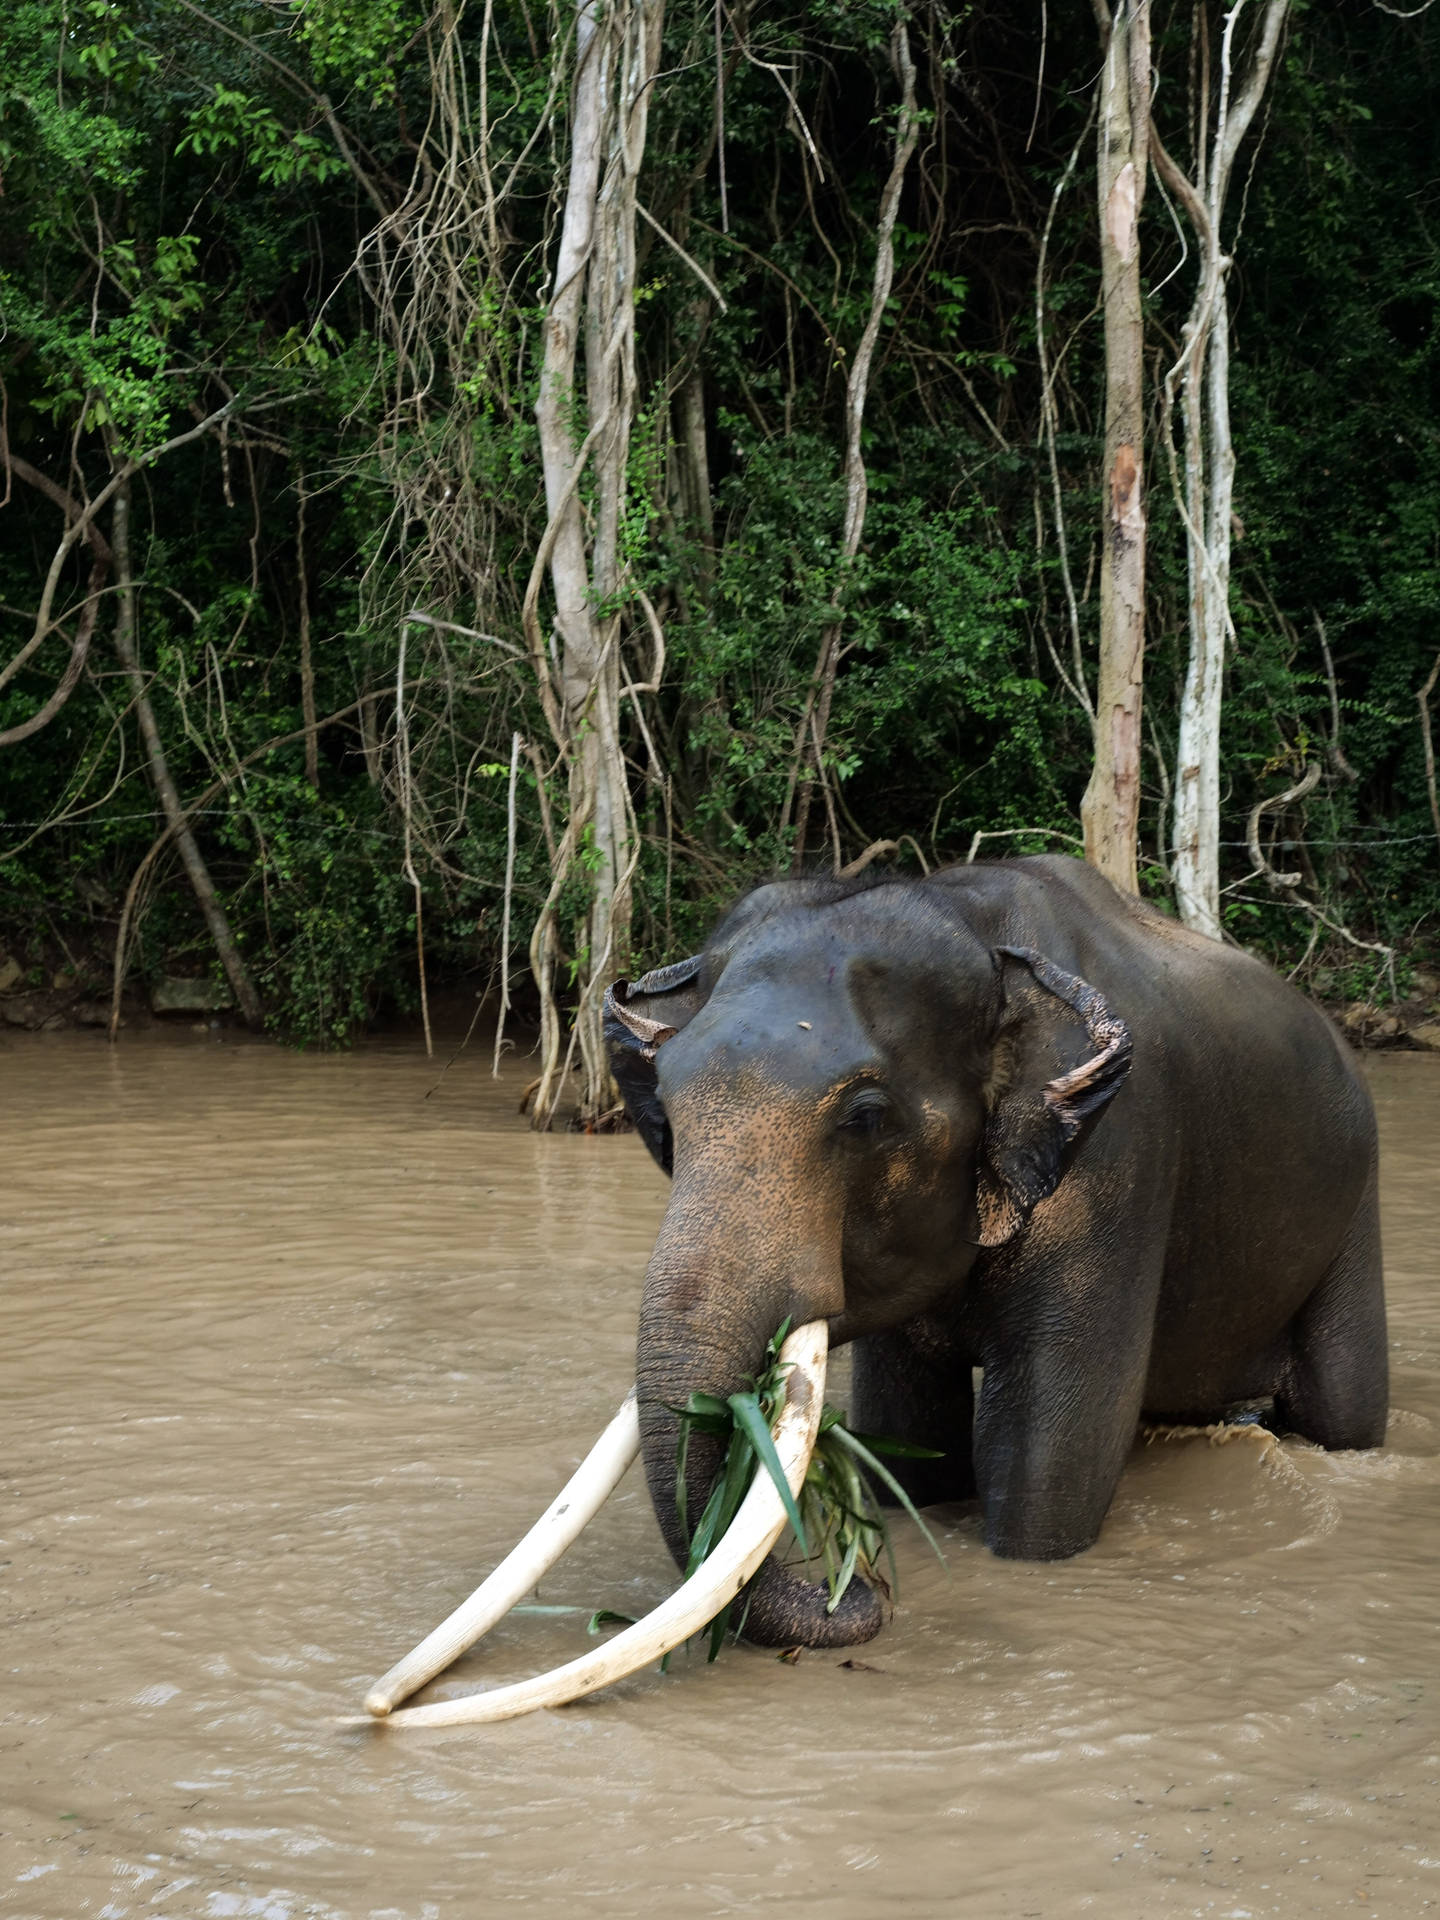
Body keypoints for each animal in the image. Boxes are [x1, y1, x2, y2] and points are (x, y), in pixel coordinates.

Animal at [603, 854, 1388, 1652]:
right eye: (667, 1109)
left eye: (865, 1118)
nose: (856, 1590)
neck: (972, 924)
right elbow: (913, 1438)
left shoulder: (1120, 1166)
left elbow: (1046, 1462)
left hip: (1356, 1201)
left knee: (1343, 1411)